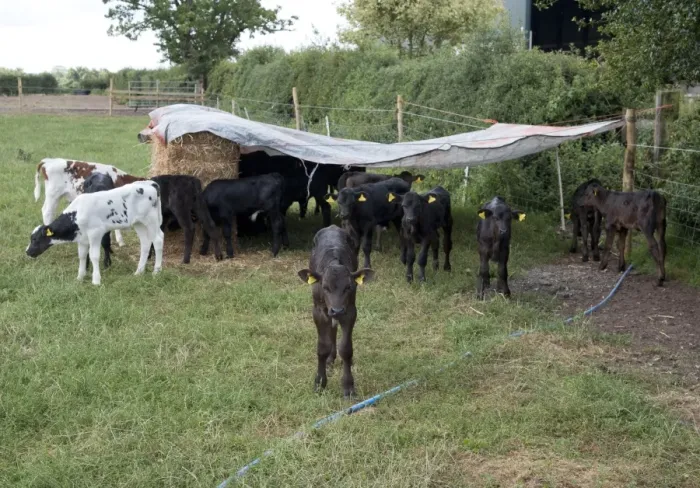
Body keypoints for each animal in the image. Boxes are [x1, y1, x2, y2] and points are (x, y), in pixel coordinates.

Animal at [26, 181, 164, 286]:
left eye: (35, 239)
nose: (27, 252)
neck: (77, 213)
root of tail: (150, 184)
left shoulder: (95, 233)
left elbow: (94, 256)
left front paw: (96, 280)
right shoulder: (82, 238)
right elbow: (82, 256)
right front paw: (80, 277)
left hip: (151, 220)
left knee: (158, 240)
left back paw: (156, 271)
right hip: (139, 223)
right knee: (145, 243)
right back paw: (139, 272)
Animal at [297, 225, 374, 397]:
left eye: (348, 287)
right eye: (325, 287)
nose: (337, 310)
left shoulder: (350, 311)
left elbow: (346, 348)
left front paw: (348, 386)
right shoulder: (318, 311)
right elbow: (322, 347)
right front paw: (319, 383)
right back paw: (329, 359)